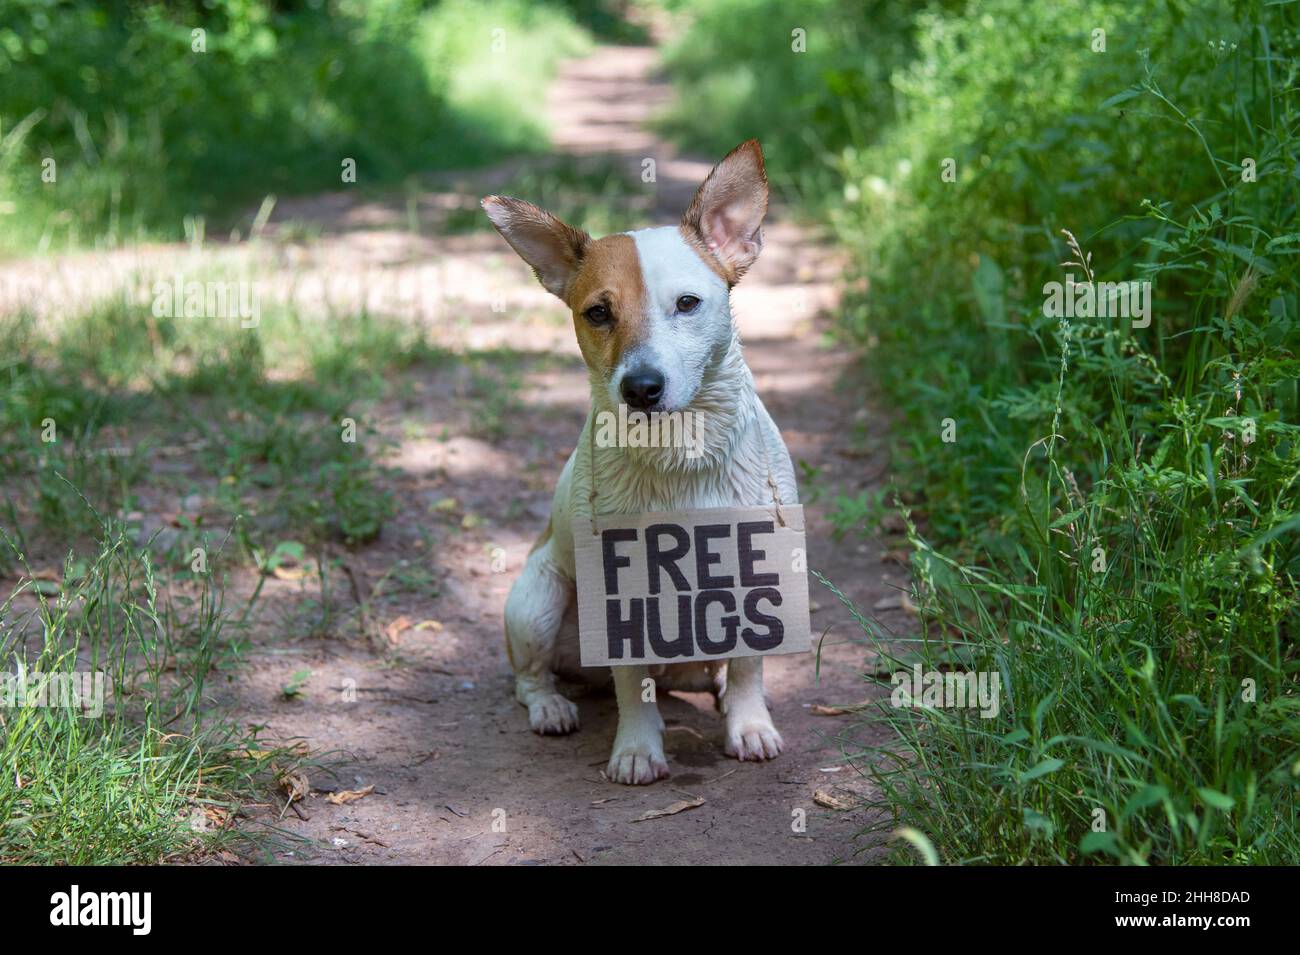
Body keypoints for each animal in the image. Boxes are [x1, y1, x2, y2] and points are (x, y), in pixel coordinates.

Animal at [483, 140, 795, 784]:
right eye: (598, 313)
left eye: (687, 304)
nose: (641, 388)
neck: (680, 456)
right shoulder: (617, 590)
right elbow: (632, 684)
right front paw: (636, 748)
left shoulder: (754, 566)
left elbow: (749, 664)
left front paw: (749, 723)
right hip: (537, 599)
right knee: (531, 678)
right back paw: (551, 704)